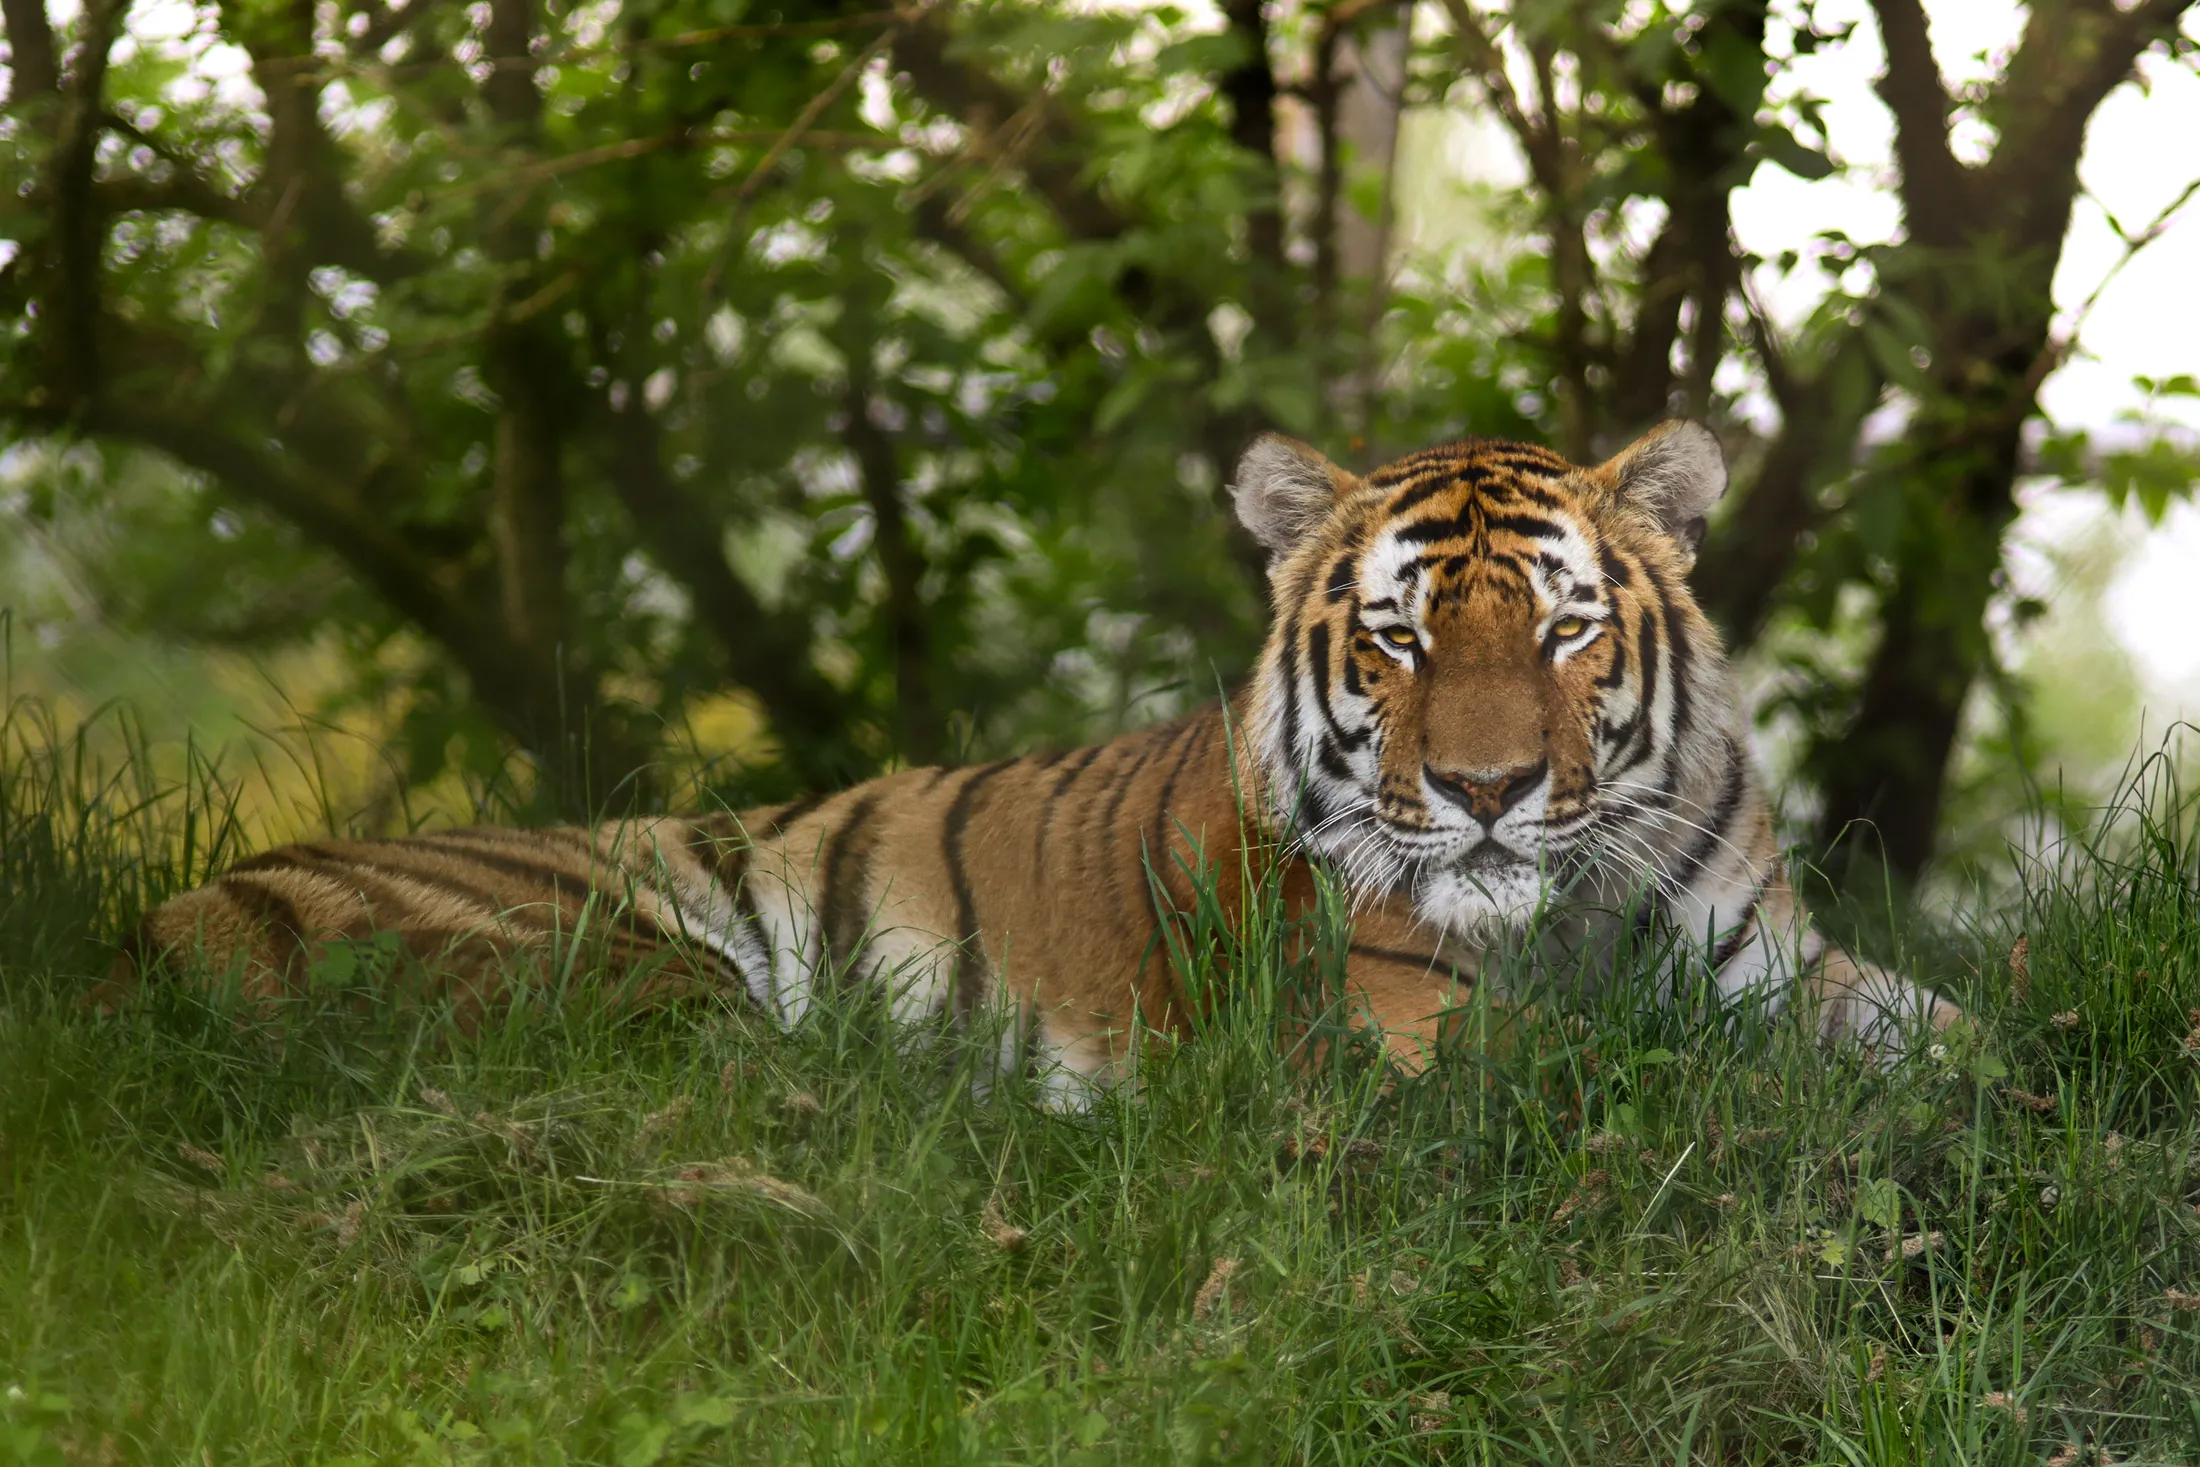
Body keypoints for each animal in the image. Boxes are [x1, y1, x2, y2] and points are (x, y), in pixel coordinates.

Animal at [100, 421, 1961, 1094]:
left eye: (1567, 632)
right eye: (1404, 637)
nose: (1491, 791)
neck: (1575, 912)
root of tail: (142, 934)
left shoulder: (1777, 963)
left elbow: (1957, 1037)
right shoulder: (1405, 1029)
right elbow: (1624, 1089)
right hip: (608, 962)